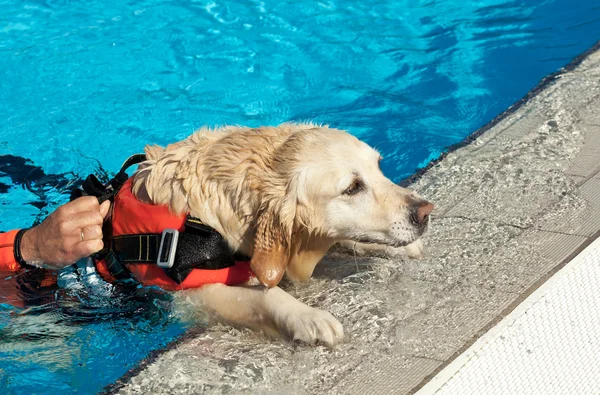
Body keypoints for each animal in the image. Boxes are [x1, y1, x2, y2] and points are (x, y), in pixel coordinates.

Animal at [131, 123, 434, 346]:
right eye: (352, 187)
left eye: (379, 167)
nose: (425, 211)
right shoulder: (192, 296)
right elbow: (265, 295)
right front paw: (307, 317)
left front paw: (400, 247)